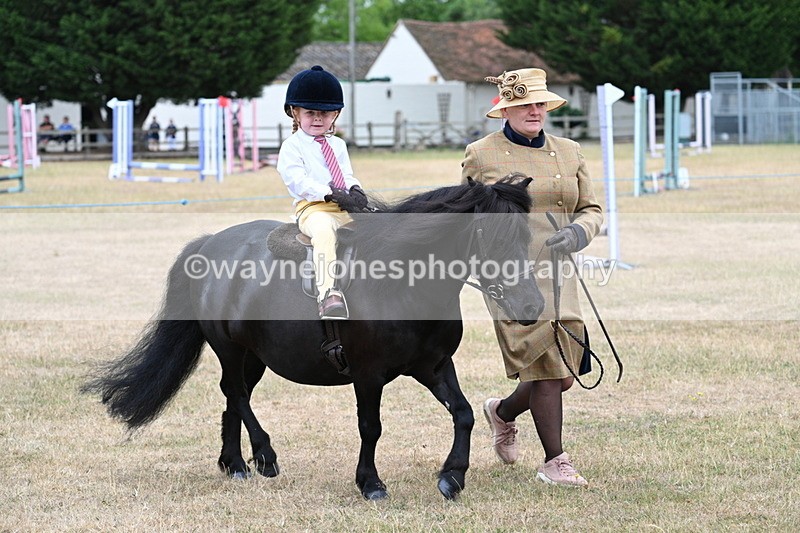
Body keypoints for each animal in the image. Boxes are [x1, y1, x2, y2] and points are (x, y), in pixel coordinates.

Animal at [83, 176, 544, 501]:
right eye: (492, 237)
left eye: (525, 236)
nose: (532, 306)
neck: (403, 284)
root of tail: (211, 242)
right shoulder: (368, 374)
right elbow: (370, 426)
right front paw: (370, 483)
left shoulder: (432, 366)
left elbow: (463, 414)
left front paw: (452, 477)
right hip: (229, 348)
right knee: (236, 392)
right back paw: (264, 456)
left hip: (254, 356)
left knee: (234, 396)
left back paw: (234, 464)